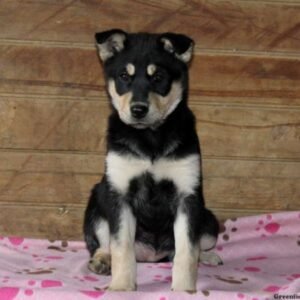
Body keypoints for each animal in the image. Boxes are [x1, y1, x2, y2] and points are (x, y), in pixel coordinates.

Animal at [83, 29, 221, 292]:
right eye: (124, 76)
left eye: (158, 77)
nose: (138, 110)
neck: (150, 136)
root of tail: (152, 255)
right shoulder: (119, 194)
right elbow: (121, 247)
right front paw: (121, 287)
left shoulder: (187, 195)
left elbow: (187, 251)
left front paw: (184, 290)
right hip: (97, 200)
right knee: (102, 242)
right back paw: (102, 261)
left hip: (209, 221)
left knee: (198, 245)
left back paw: (209, 256)